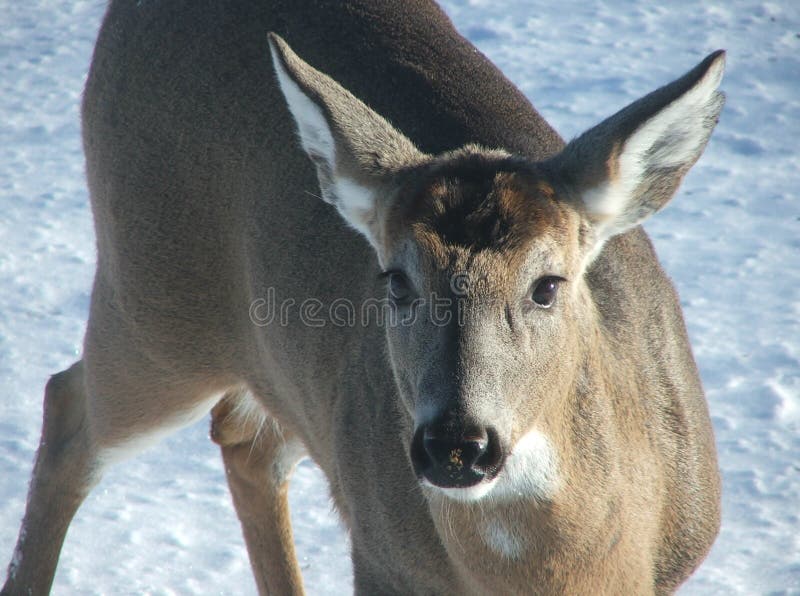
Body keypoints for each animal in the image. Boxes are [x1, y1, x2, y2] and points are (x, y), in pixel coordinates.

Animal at [1, 0, 724, 592]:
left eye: (548, 285)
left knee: (244, 439)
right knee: (70, 405)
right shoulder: (383, 559)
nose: (456, 444)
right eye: (396, 280)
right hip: (152, 299)